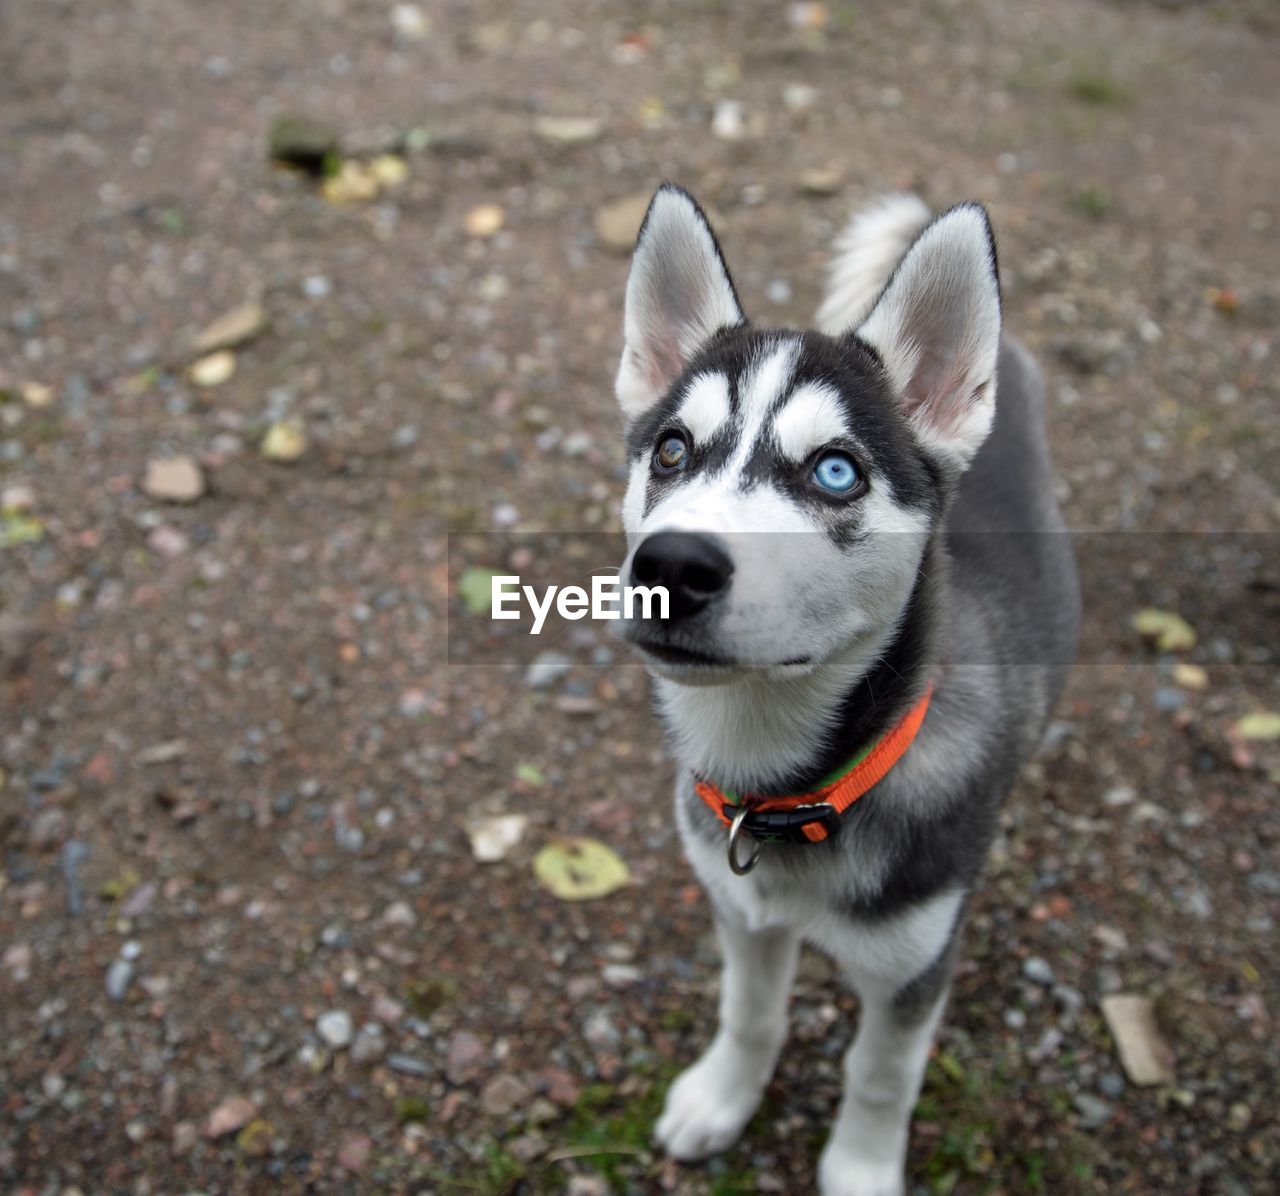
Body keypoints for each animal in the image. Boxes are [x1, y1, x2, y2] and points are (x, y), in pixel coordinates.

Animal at [609, 189, 1080, 1196]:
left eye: (836, 471)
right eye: (671, 451)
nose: (670, 565)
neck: (793, 795)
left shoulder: (916, 963)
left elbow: (879, 1074)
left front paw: (860, 1168)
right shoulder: (742, 917)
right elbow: (751, 1013)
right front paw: (724, 1097)